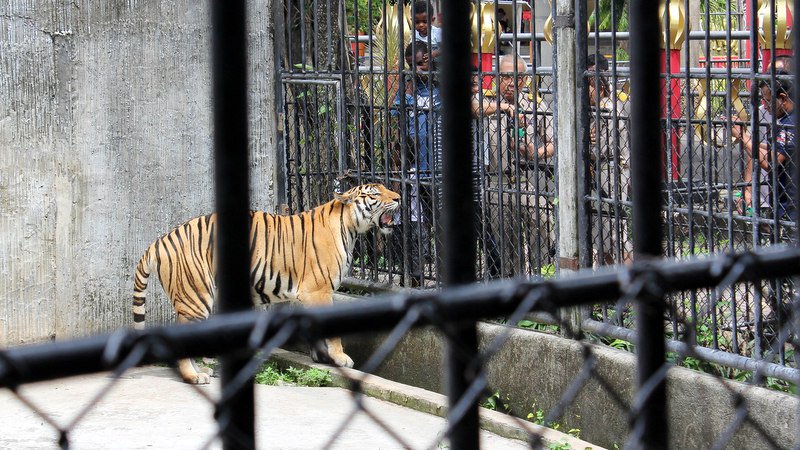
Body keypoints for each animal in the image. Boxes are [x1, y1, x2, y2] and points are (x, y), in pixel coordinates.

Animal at [134, 183, 404, 384]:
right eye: (375, 193)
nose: (399, 197)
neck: (349, 225)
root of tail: (158, 240)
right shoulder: (318, 290)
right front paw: (340, 358)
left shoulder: (309, 294)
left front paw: (323, 357)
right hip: (196, 296)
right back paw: (194, 375)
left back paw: (203, 369)